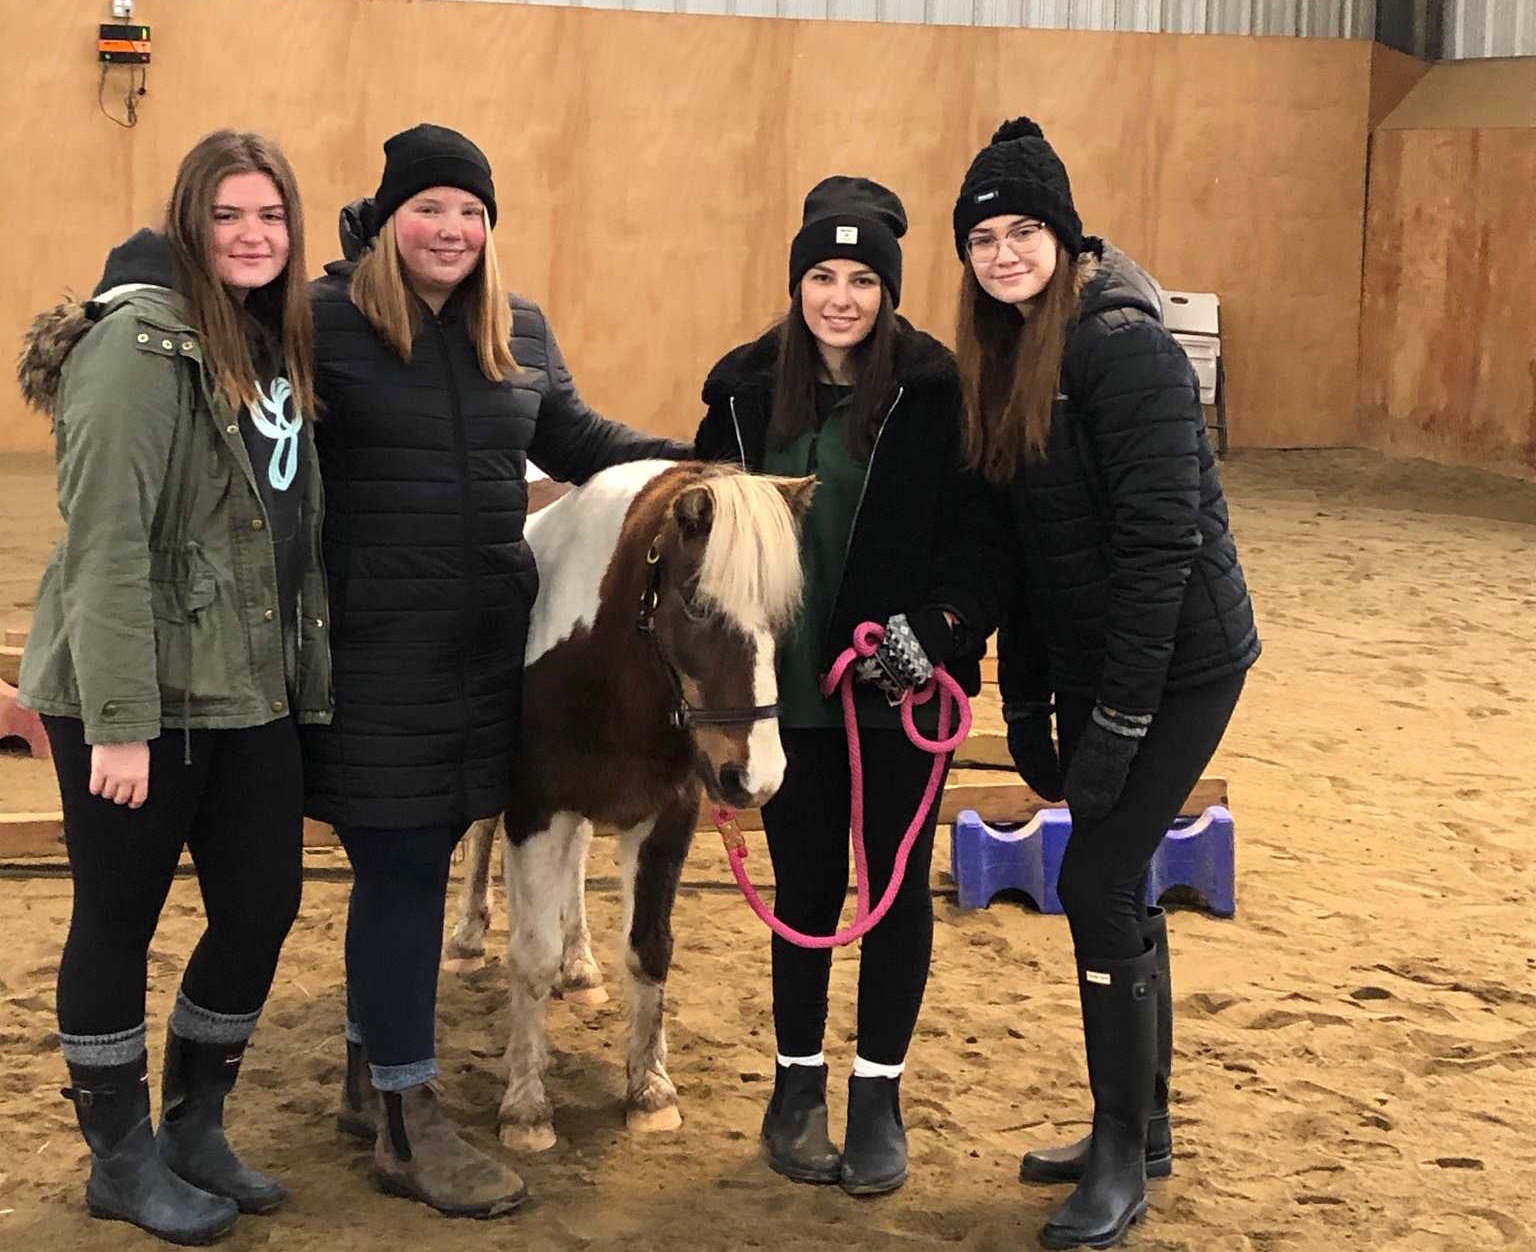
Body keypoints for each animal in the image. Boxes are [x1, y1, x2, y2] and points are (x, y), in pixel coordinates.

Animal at [442, 463, 811, 1155]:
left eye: (782, 614)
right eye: (696, 603)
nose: (755, 779)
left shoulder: (666, 818)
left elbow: (649, 948)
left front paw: (651, 1091)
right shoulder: (536, 810)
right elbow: (530, 954)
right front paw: (525, 1109)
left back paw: (581, 966)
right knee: (483, 836)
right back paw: (469, 935)